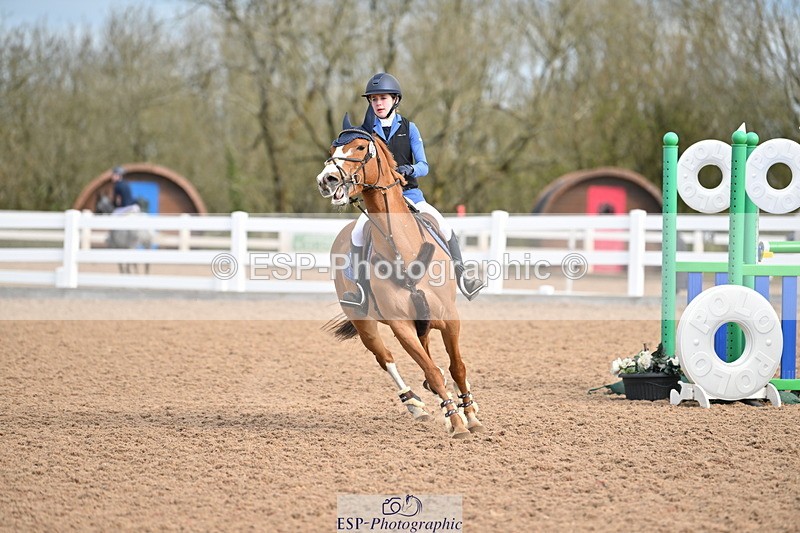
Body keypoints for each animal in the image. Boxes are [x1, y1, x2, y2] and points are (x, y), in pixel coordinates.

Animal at [315, 114, 484, 439]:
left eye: (360, 147)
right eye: (332, 148)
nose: (326, 180)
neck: (402, 248)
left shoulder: (448, 318)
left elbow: (456, 367)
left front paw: (469, 414)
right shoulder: (401, 326)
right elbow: (430, 369)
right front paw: (456, 423)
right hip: (366, 324)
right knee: (387, 359)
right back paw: (415, 405)